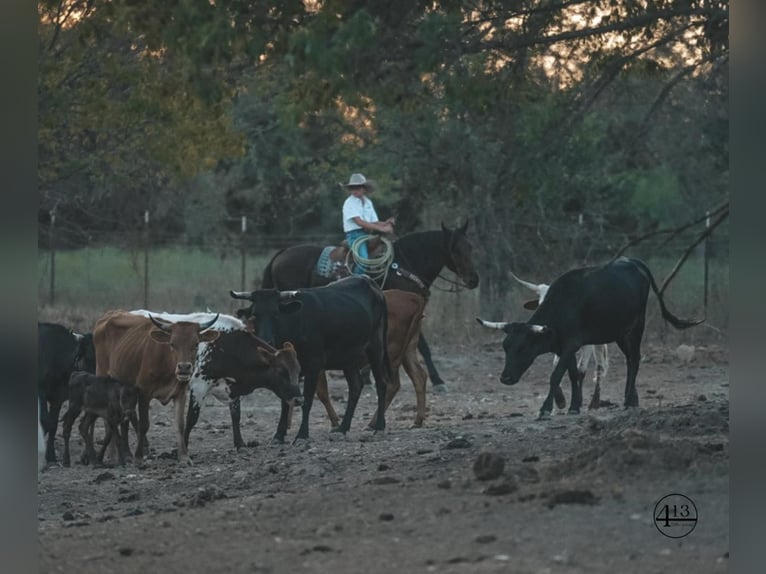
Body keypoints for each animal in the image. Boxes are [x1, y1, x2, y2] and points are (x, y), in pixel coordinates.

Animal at [38, 324, 96, 464]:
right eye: (90, 357)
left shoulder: (58, 398)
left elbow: (52, 424)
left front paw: (51, 456)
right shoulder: (40, 390)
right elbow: (45, 420)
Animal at [93, 312, 220, 466]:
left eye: (195, 344)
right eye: (172, 344)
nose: (184, 367)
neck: (167, 363)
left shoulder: (180, 394)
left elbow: (180, 425)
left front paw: (184, 457)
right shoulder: (144, 393)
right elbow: (144, 425)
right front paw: (139, 457)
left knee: (123, 420)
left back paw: (125, 454)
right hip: (103, 376)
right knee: (108, 419)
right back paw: (112, 455)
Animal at [230, 276, 390, 444]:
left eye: (276, 314)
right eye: (255, 315)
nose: (266, 340)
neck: (296, 323)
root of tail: (370, 282)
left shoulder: (314, 366)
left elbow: (306, 401)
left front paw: (302, 435)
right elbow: (285, 401)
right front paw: (279, 435)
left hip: (376, 348)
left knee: (381, 384)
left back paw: (379, 427)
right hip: (348, 357)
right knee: (355, 387)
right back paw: (342, 429)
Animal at [260, 223, 484, 394]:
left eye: (470, 247)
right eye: (455, 249)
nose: (473, 280)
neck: (405, 266)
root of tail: (280, 254)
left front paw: (367, 376)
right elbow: (424, 347)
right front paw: (439, 382)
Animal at [476, 260, 704, 418]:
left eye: (523, 348)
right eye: (505, 347)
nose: (505, 378)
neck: (563, 306)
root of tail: (632, 261)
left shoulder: (572, 344)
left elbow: (557, 376)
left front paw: (546, 408)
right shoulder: (563, 347)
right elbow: (572, 374)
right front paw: (574, 406)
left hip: (636, 326)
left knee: (634, 359)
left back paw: (628, 400)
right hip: (619, 332)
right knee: (631, 359)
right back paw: (633, 398)